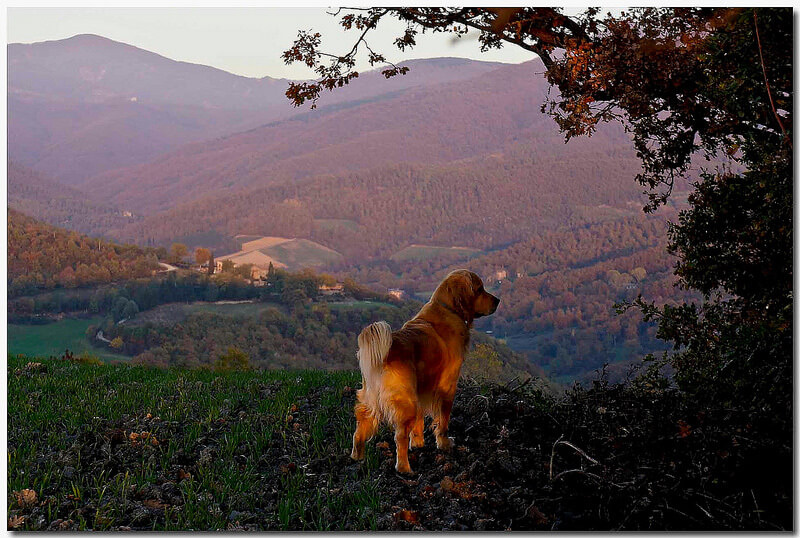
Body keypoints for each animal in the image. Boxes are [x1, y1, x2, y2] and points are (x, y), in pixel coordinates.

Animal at [352, 268, 500, 468]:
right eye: (479, 289)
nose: (497, 300)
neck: (448, 309)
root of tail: (385, 355)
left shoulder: (421, 389)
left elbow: (419, 422)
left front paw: (418, 443)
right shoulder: (447, 386)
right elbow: (443, 421)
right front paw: (444, 444)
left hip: (371, 400)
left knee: (360, 429)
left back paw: (357, 456)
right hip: (405, 403)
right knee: (400, 436)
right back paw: (404, 468)